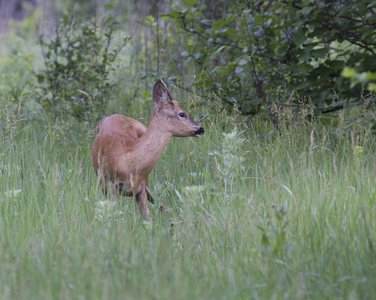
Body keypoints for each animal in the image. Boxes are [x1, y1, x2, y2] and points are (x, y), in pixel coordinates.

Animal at [91, 79, 204, 223]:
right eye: (181, 113)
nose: (200, 129)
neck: (127, 161)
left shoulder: (141, 187)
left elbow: (148, 220)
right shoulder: (110, 186)